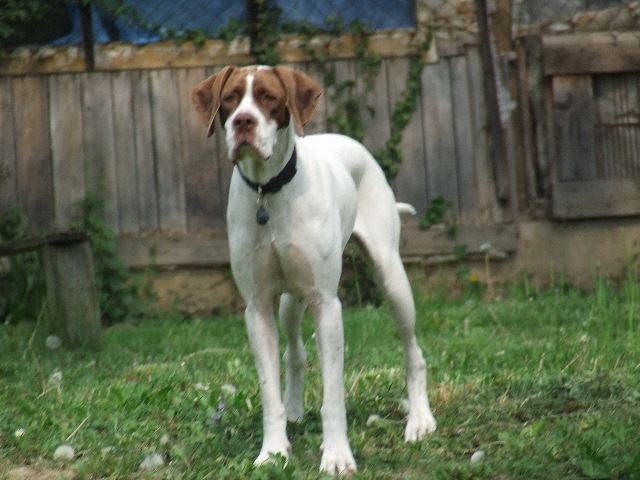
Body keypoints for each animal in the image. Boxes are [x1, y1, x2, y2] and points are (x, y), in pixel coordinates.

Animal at [190, 65, 436, 475]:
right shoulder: (258, 308)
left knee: (412, 351)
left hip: (391, 278)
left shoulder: (327, 305)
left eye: (269, 98)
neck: (269, 191)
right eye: (230, 98)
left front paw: (337, 456)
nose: (243, 121)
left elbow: (333, 396)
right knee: (294, 352)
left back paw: (420, 420)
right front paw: (273, 451)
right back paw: (293, 410)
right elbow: (269, 393)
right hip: (291, 302)